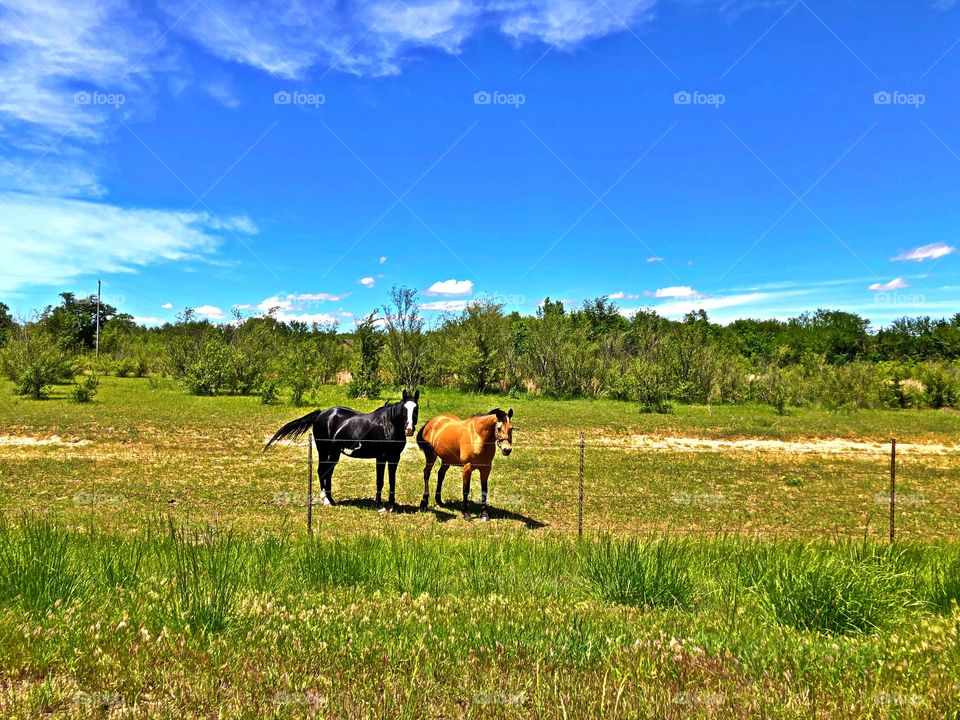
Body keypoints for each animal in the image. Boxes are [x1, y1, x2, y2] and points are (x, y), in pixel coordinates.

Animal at [264, 390, 418, 510]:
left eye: (416, 408)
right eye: (404, 409)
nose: (409, 430)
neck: (387, 425)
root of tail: (321, 413)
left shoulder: (394, 458)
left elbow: (392, 480)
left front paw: (392, 505)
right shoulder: (381, 457)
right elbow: (380, 481)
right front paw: (380, 506)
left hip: (334, 453)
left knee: (328, 472)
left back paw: (332, 500)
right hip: (323, 450)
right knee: (321, 471)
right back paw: (325, 500)